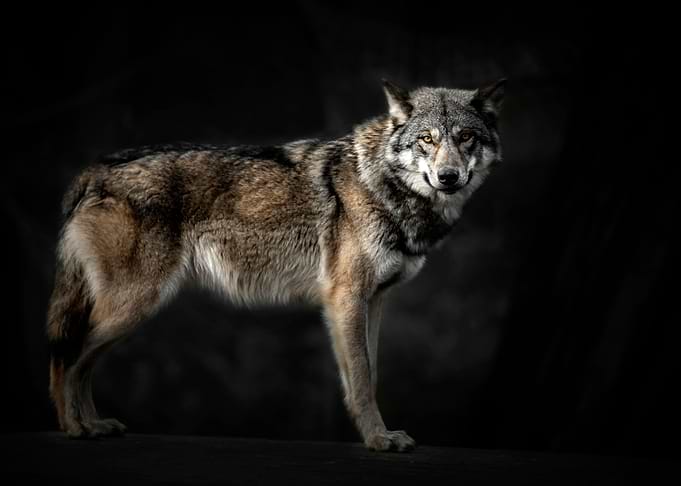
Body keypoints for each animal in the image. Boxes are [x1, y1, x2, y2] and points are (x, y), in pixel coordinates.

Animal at [47, 78, 505, 451]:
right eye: (426, 139)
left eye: (466, 137)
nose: (448, 177)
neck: (382, 185)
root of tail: (94, 170)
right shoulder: (346, 299)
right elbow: (360, 378)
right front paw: (378, 440)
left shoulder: (374, 301)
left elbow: (369, 374)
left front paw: (379, 434)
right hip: (134, 305)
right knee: (68, 355)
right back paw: (74, 429)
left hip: (128, 313)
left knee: (82, 361)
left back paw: (94, 425)